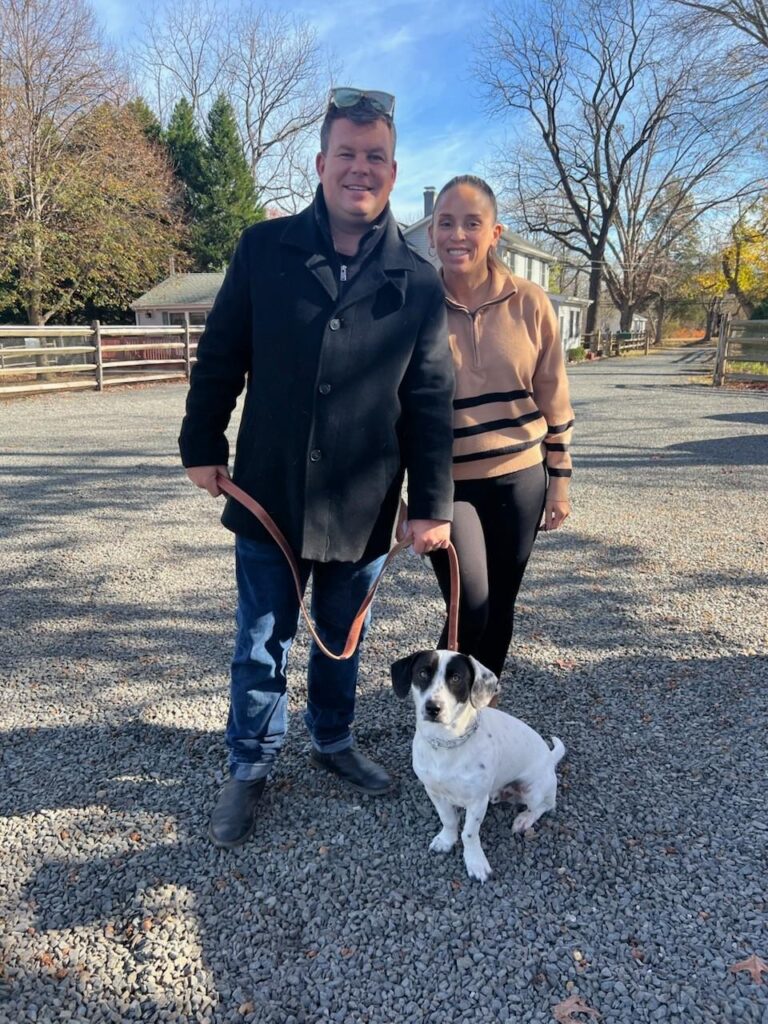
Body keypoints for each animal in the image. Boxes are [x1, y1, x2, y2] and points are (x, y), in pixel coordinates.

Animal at [391, 651, 565, 884]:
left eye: (456, 678)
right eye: (422, 673)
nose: (433, 708)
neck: (446, 743)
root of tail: (549, 757)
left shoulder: (477, 802)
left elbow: (469, 833)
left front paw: (475, 862)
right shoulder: (434, 792)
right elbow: (448, 820)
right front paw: (446, 840)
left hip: (533, 789)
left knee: (545, 806)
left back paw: (524, 819)